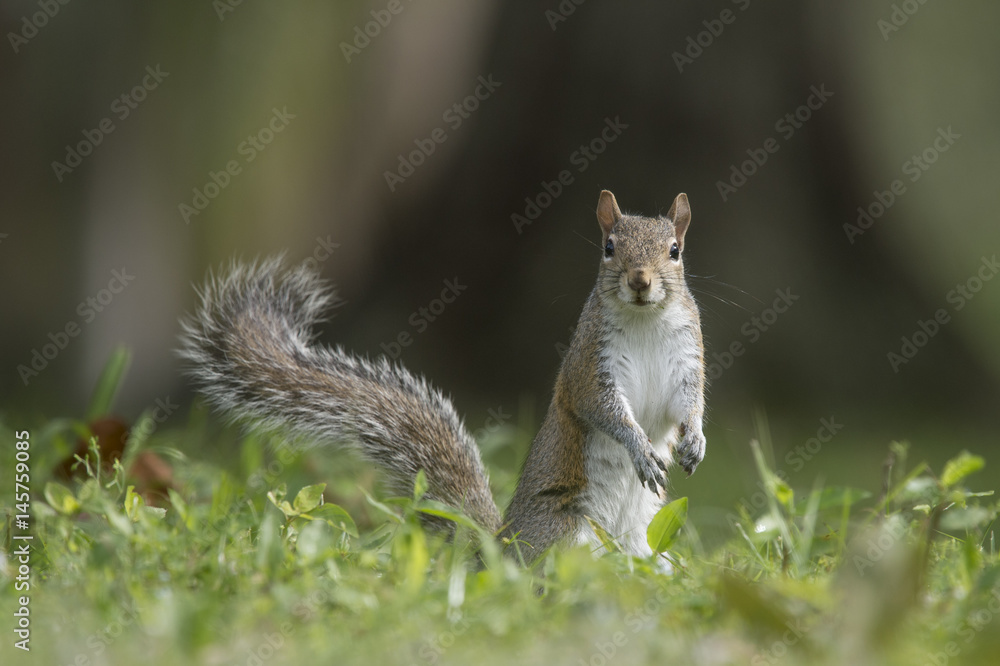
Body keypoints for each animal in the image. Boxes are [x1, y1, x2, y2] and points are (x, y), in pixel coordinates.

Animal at [178, 190, 706, 563]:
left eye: (675, 251)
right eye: (609, 247)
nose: (640, 281)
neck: (645, 321)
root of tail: (500, 549)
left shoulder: (687, 360)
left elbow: (688, 404)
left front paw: (694, 441)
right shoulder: (589, 367)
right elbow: (604, 409)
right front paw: (639, 448)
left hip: (641, 545)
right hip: (564, 533)